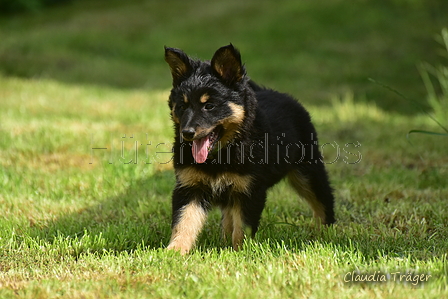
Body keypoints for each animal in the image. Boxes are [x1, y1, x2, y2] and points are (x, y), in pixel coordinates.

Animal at [164, 45, 332, 255]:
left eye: (209, 106)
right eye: (182, 106)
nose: (187, 133)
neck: (221, 155)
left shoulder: (249, 189)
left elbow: (242, 228)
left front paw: (240, 253)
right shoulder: (189, 186)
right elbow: (184, 222)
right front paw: (174, 252)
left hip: (307, 169)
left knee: (323, 199)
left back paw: (326, 232)